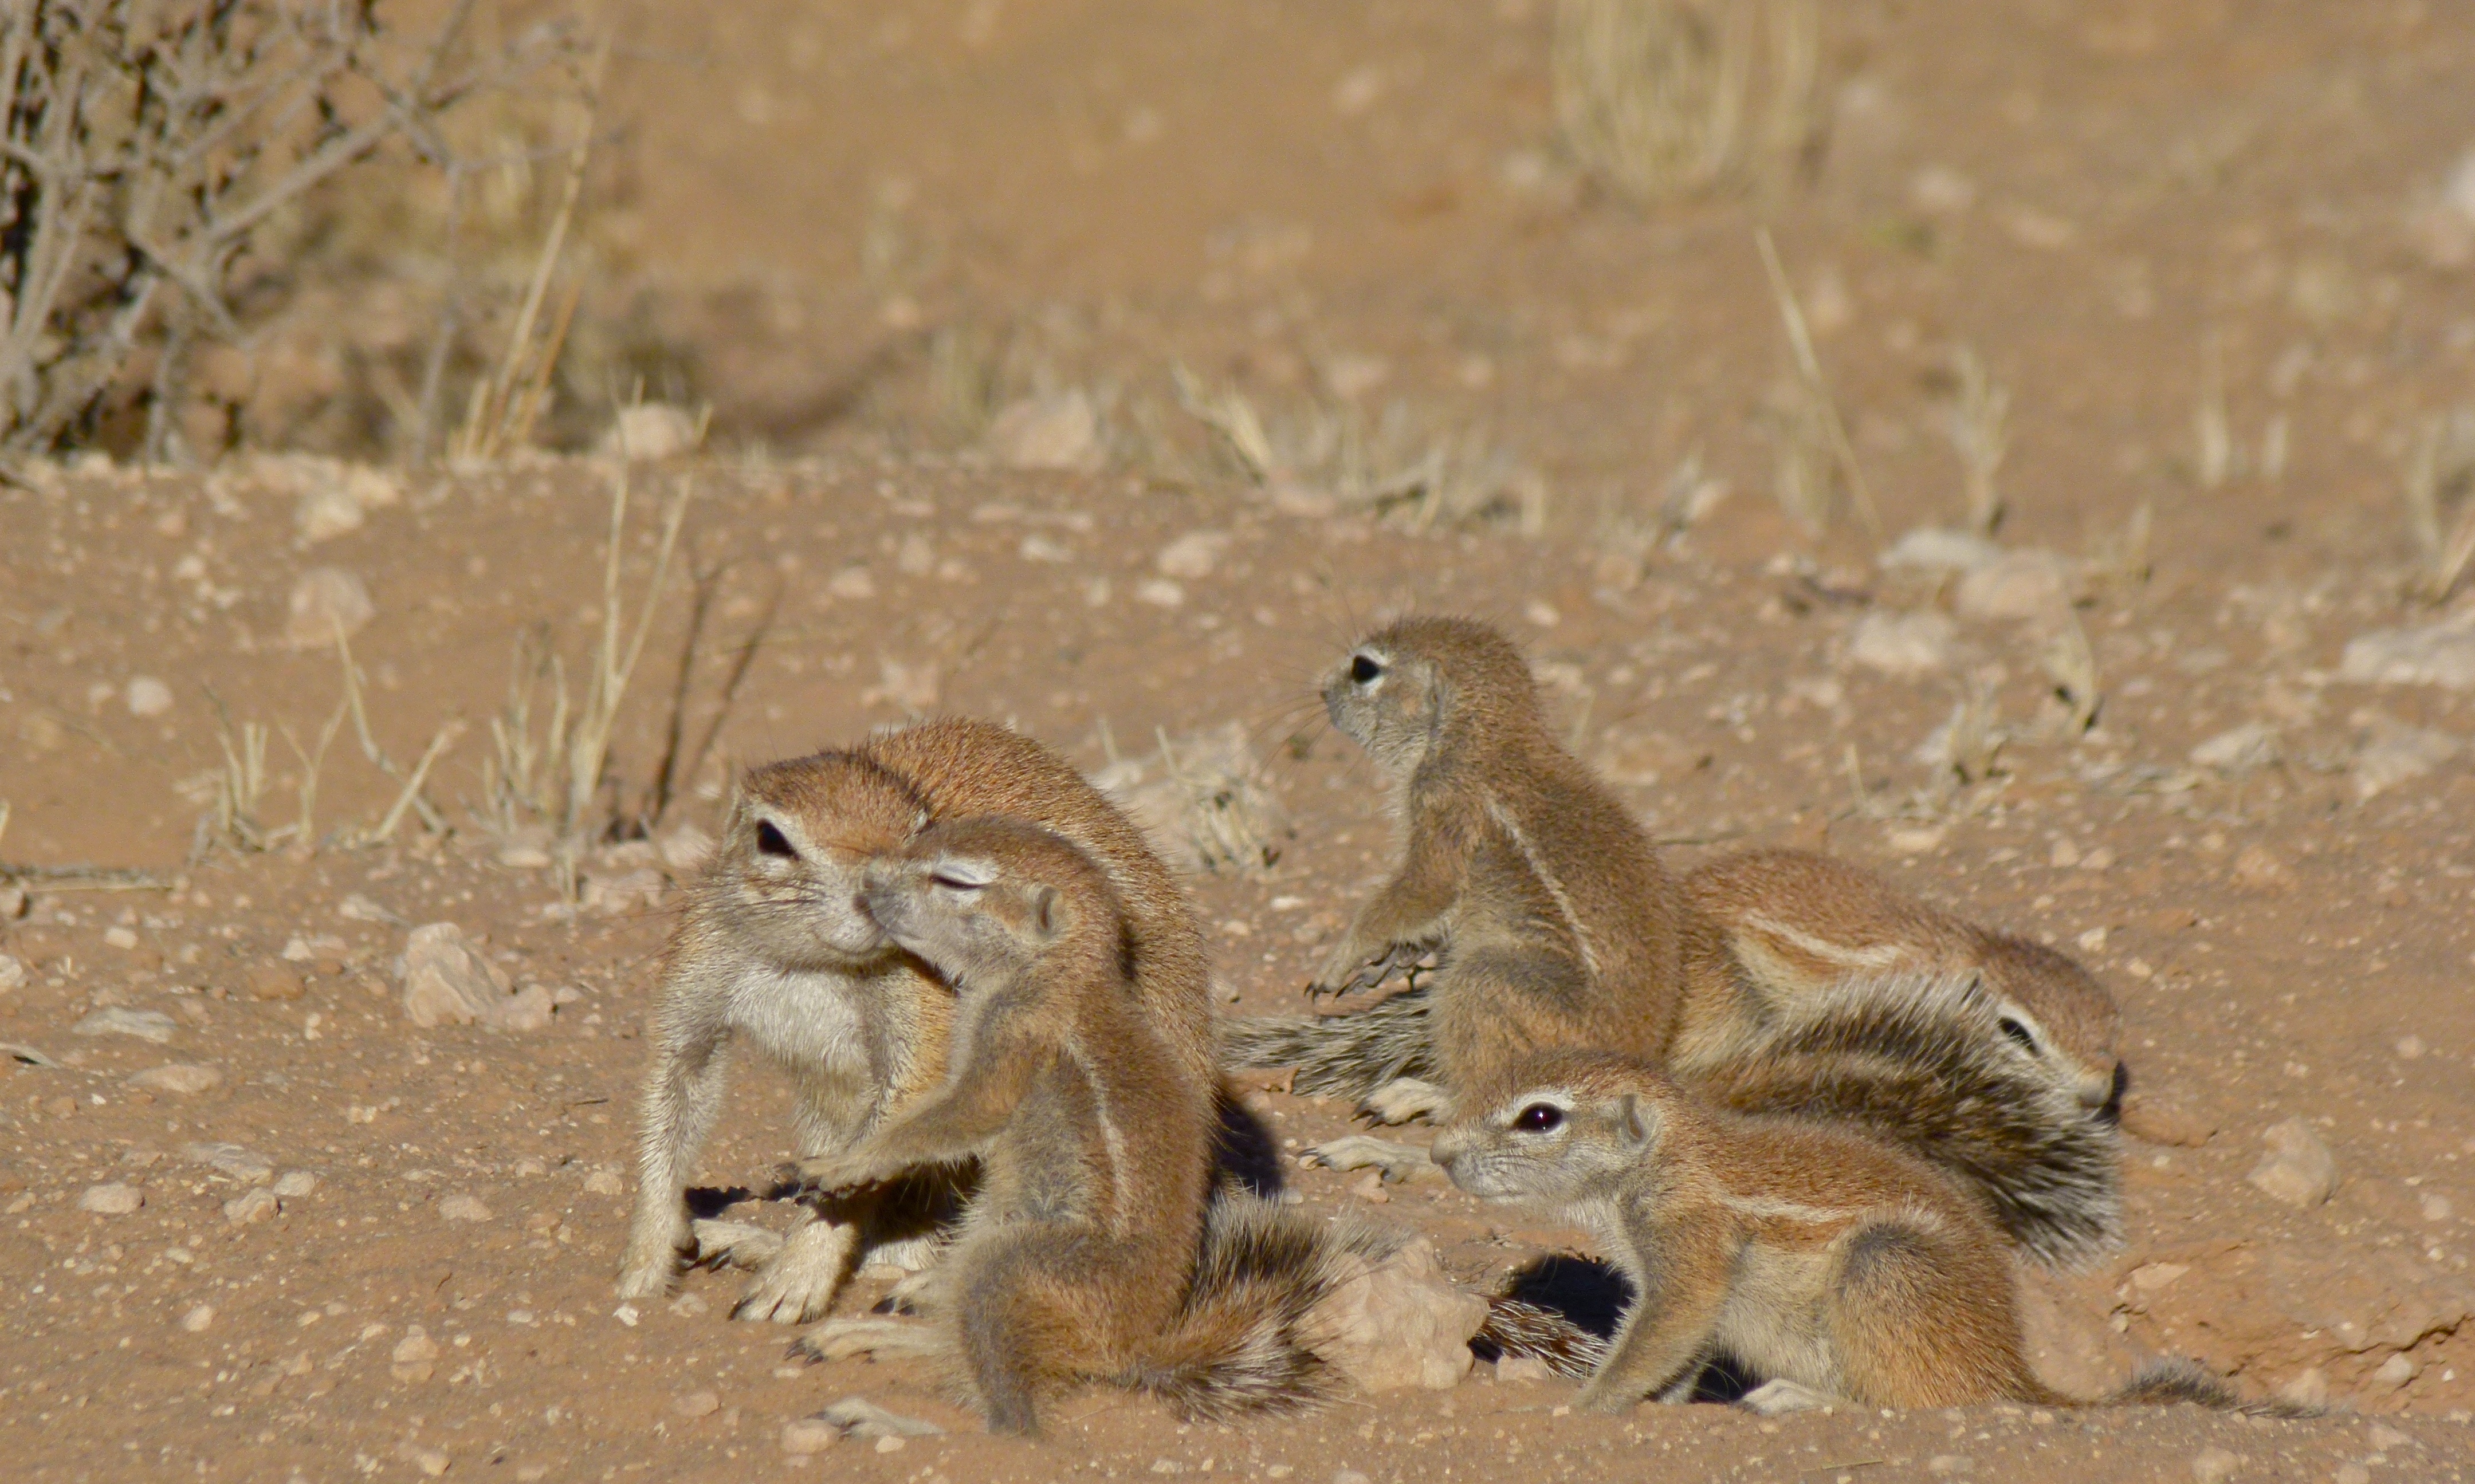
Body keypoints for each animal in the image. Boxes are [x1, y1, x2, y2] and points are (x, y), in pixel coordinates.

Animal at [608, 717, 1208, 1325]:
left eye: (922, 829)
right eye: (771, 839)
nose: (872, 891)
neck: (810, 964)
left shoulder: (921, 1013)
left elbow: (881, 1138)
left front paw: (792, 1281)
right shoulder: (699, 970)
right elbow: (673, 1098)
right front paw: (643, 1269)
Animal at [792, 816, 1376, 1434]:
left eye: (955, 880)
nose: (867, 880)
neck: (1054, 970)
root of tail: (1132, 1347)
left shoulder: (1011, 1037)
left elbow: (956, 1117)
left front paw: (844, 1162)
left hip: (1007, 1265)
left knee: (1006, 1413)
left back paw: (883, 1398)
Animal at [1223, 618, 1692, 1123]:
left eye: (1364, 669)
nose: (1321, 691)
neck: (1483, 735)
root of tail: (1638, 1054)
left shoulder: (1441, 807)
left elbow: (1417, 892)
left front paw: (1339, 961)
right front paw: (1392, 960)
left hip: (1485, 979)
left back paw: (1422, 1096)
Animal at [1445, 1053, 2307, 1415]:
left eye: (1540, 1116)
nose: (1441, 1154)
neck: (1667, 1154)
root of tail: (2012, 1371)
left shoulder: (1687, 1251)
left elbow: (1656, 1336)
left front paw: (1586, 1403)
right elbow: (1679, 1350)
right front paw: (1672, 1406)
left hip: (1881, 1265)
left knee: (1917, 1403)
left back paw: (1799, 1398)